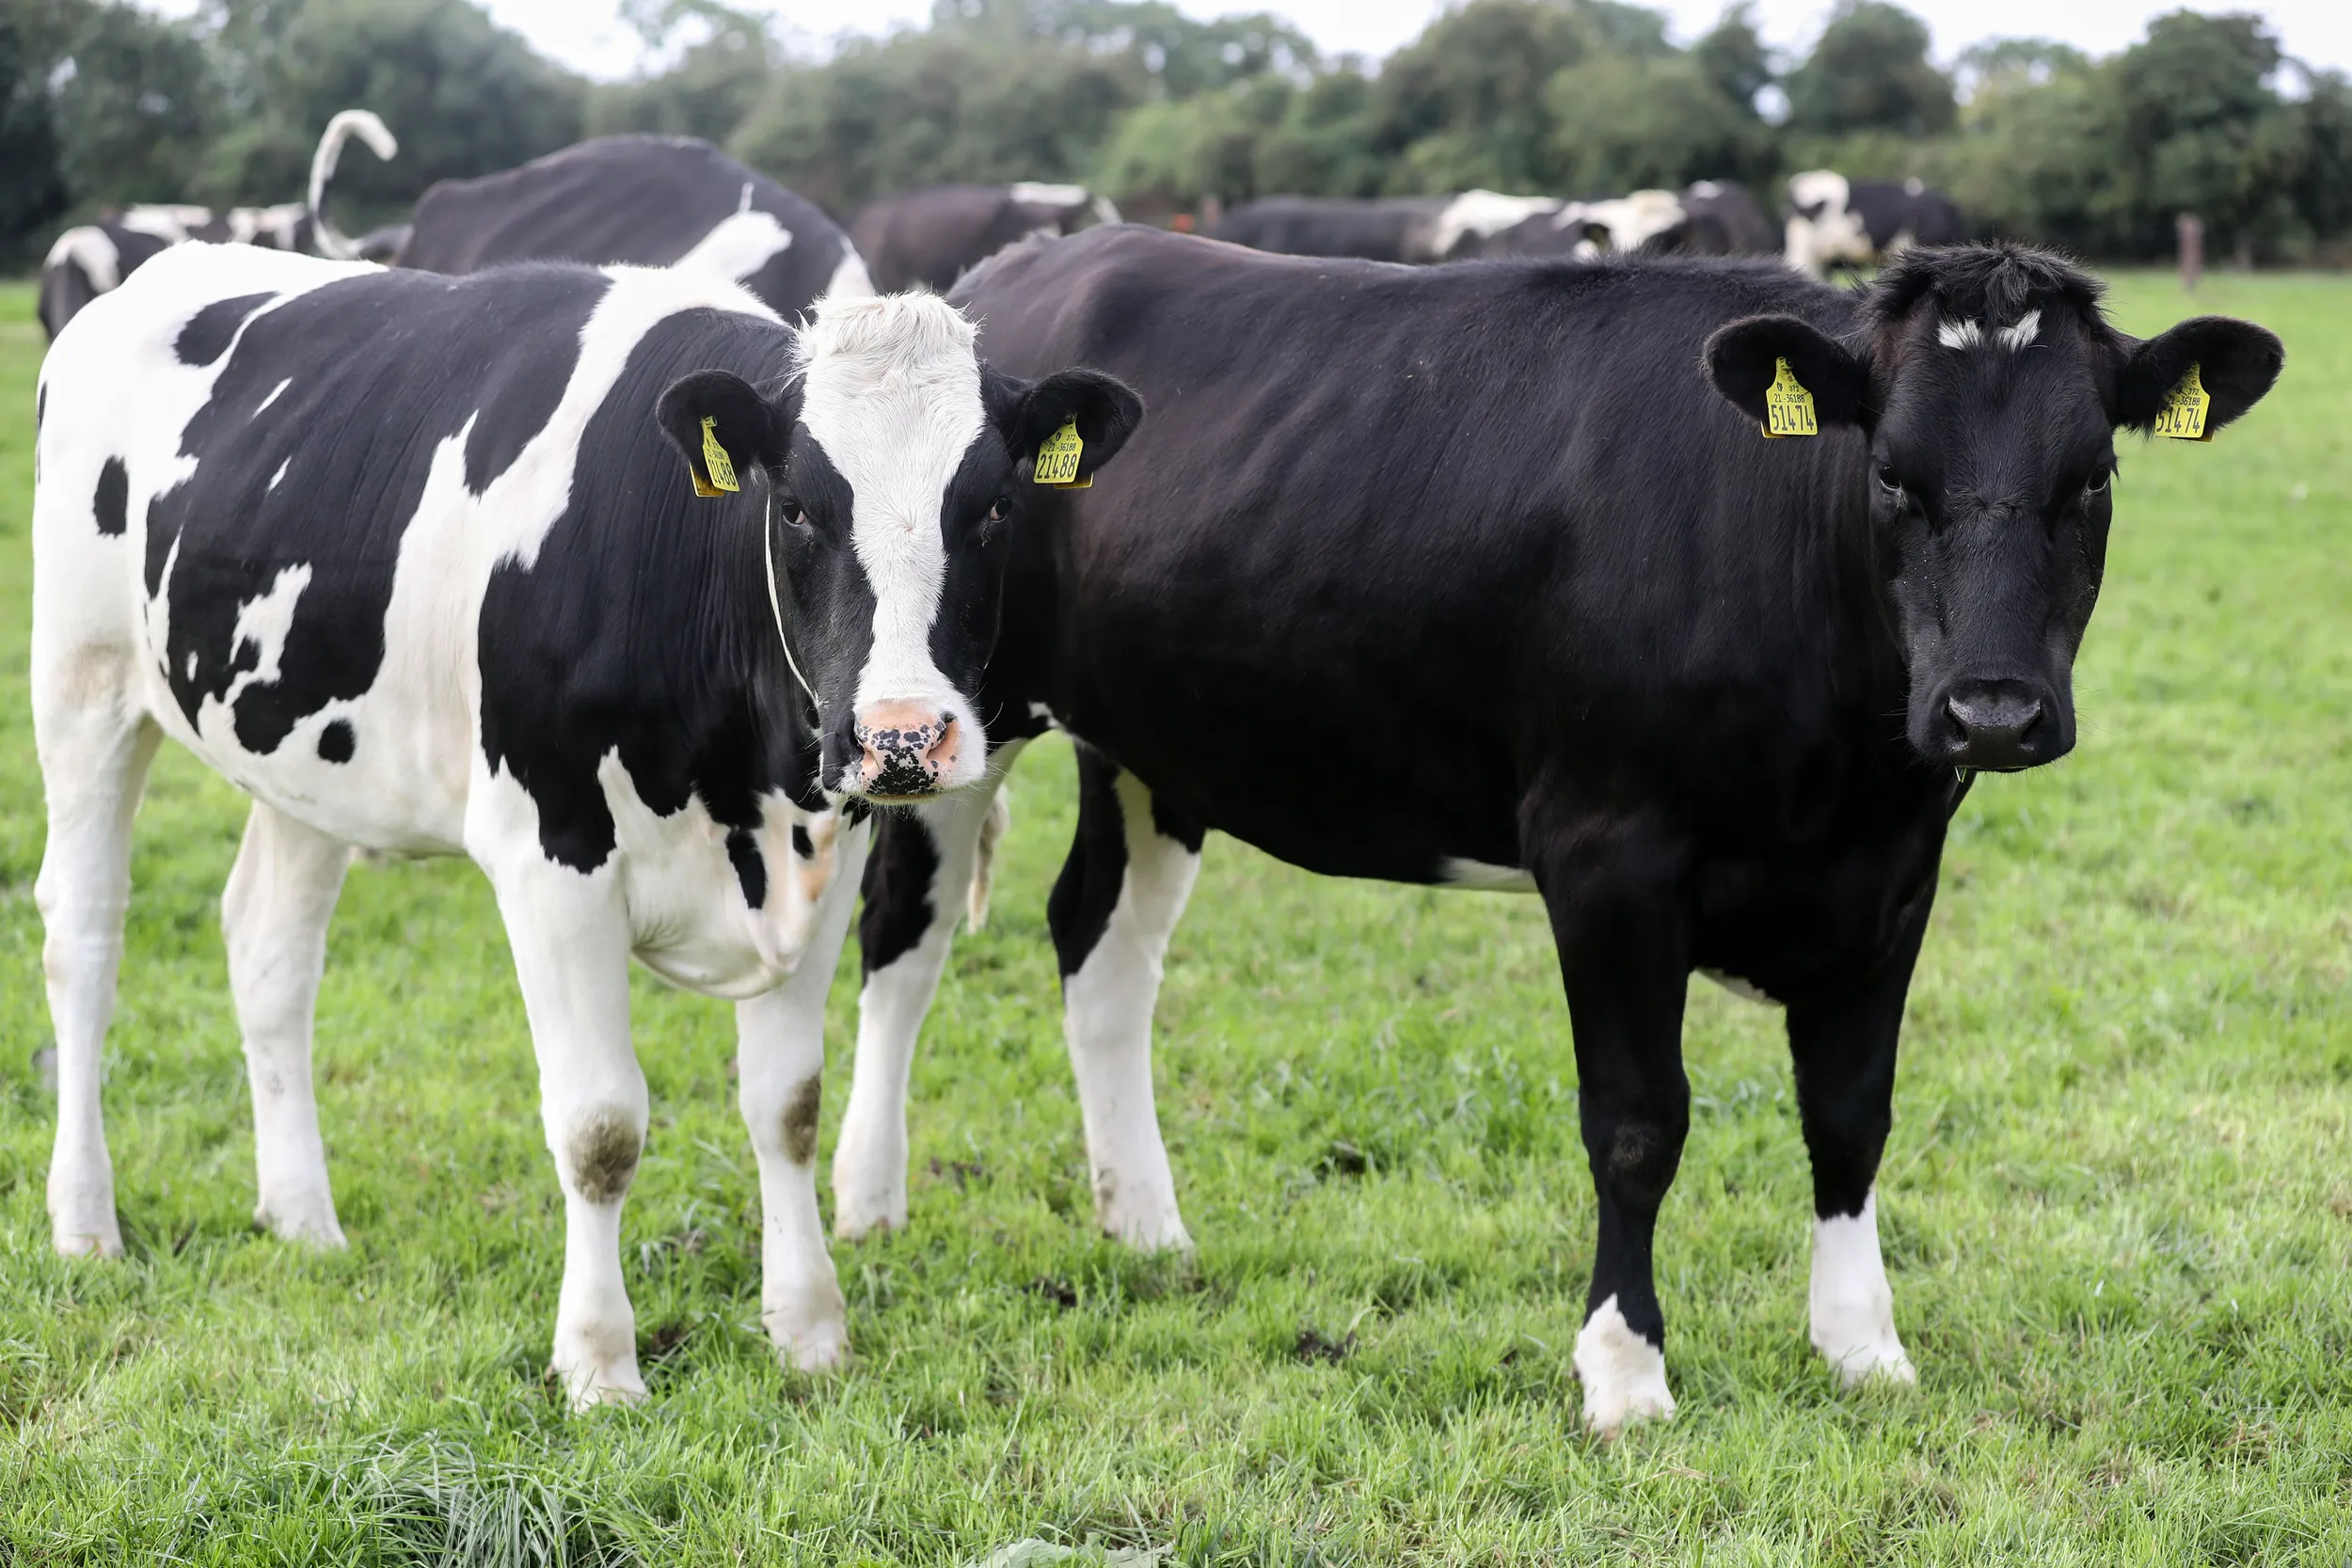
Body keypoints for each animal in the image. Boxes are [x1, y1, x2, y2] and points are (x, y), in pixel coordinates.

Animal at [32, 241, 1141, 1407]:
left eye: (995, 507)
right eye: (796, 506)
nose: (903, 736)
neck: (747, 783)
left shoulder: (824, 859)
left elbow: (787, 1104)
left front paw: (808, 1328)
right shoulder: (549, 853)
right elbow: (600, 1125)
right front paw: (601, 1361)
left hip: (306, 763)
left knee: (268, 949)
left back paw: (302, 1219)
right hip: (83, 684)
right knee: (84, 938)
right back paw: (87, 1221)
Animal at [811, 227, 2279, 1434]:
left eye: (2090, 478)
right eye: (1893, 477)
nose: (1991, 708)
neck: (1837, 776)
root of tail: (1024, 266)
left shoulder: (1895, 871)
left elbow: (1852, 1113)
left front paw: (1864, 1346)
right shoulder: (1606, 852)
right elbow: (1637, 1122)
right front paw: (1625, 1371)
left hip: (1151, 740)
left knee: (1100, 949)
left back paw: (1147, 1225)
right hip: (944, 722)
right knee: (906, 938)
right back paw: (871, 1203)